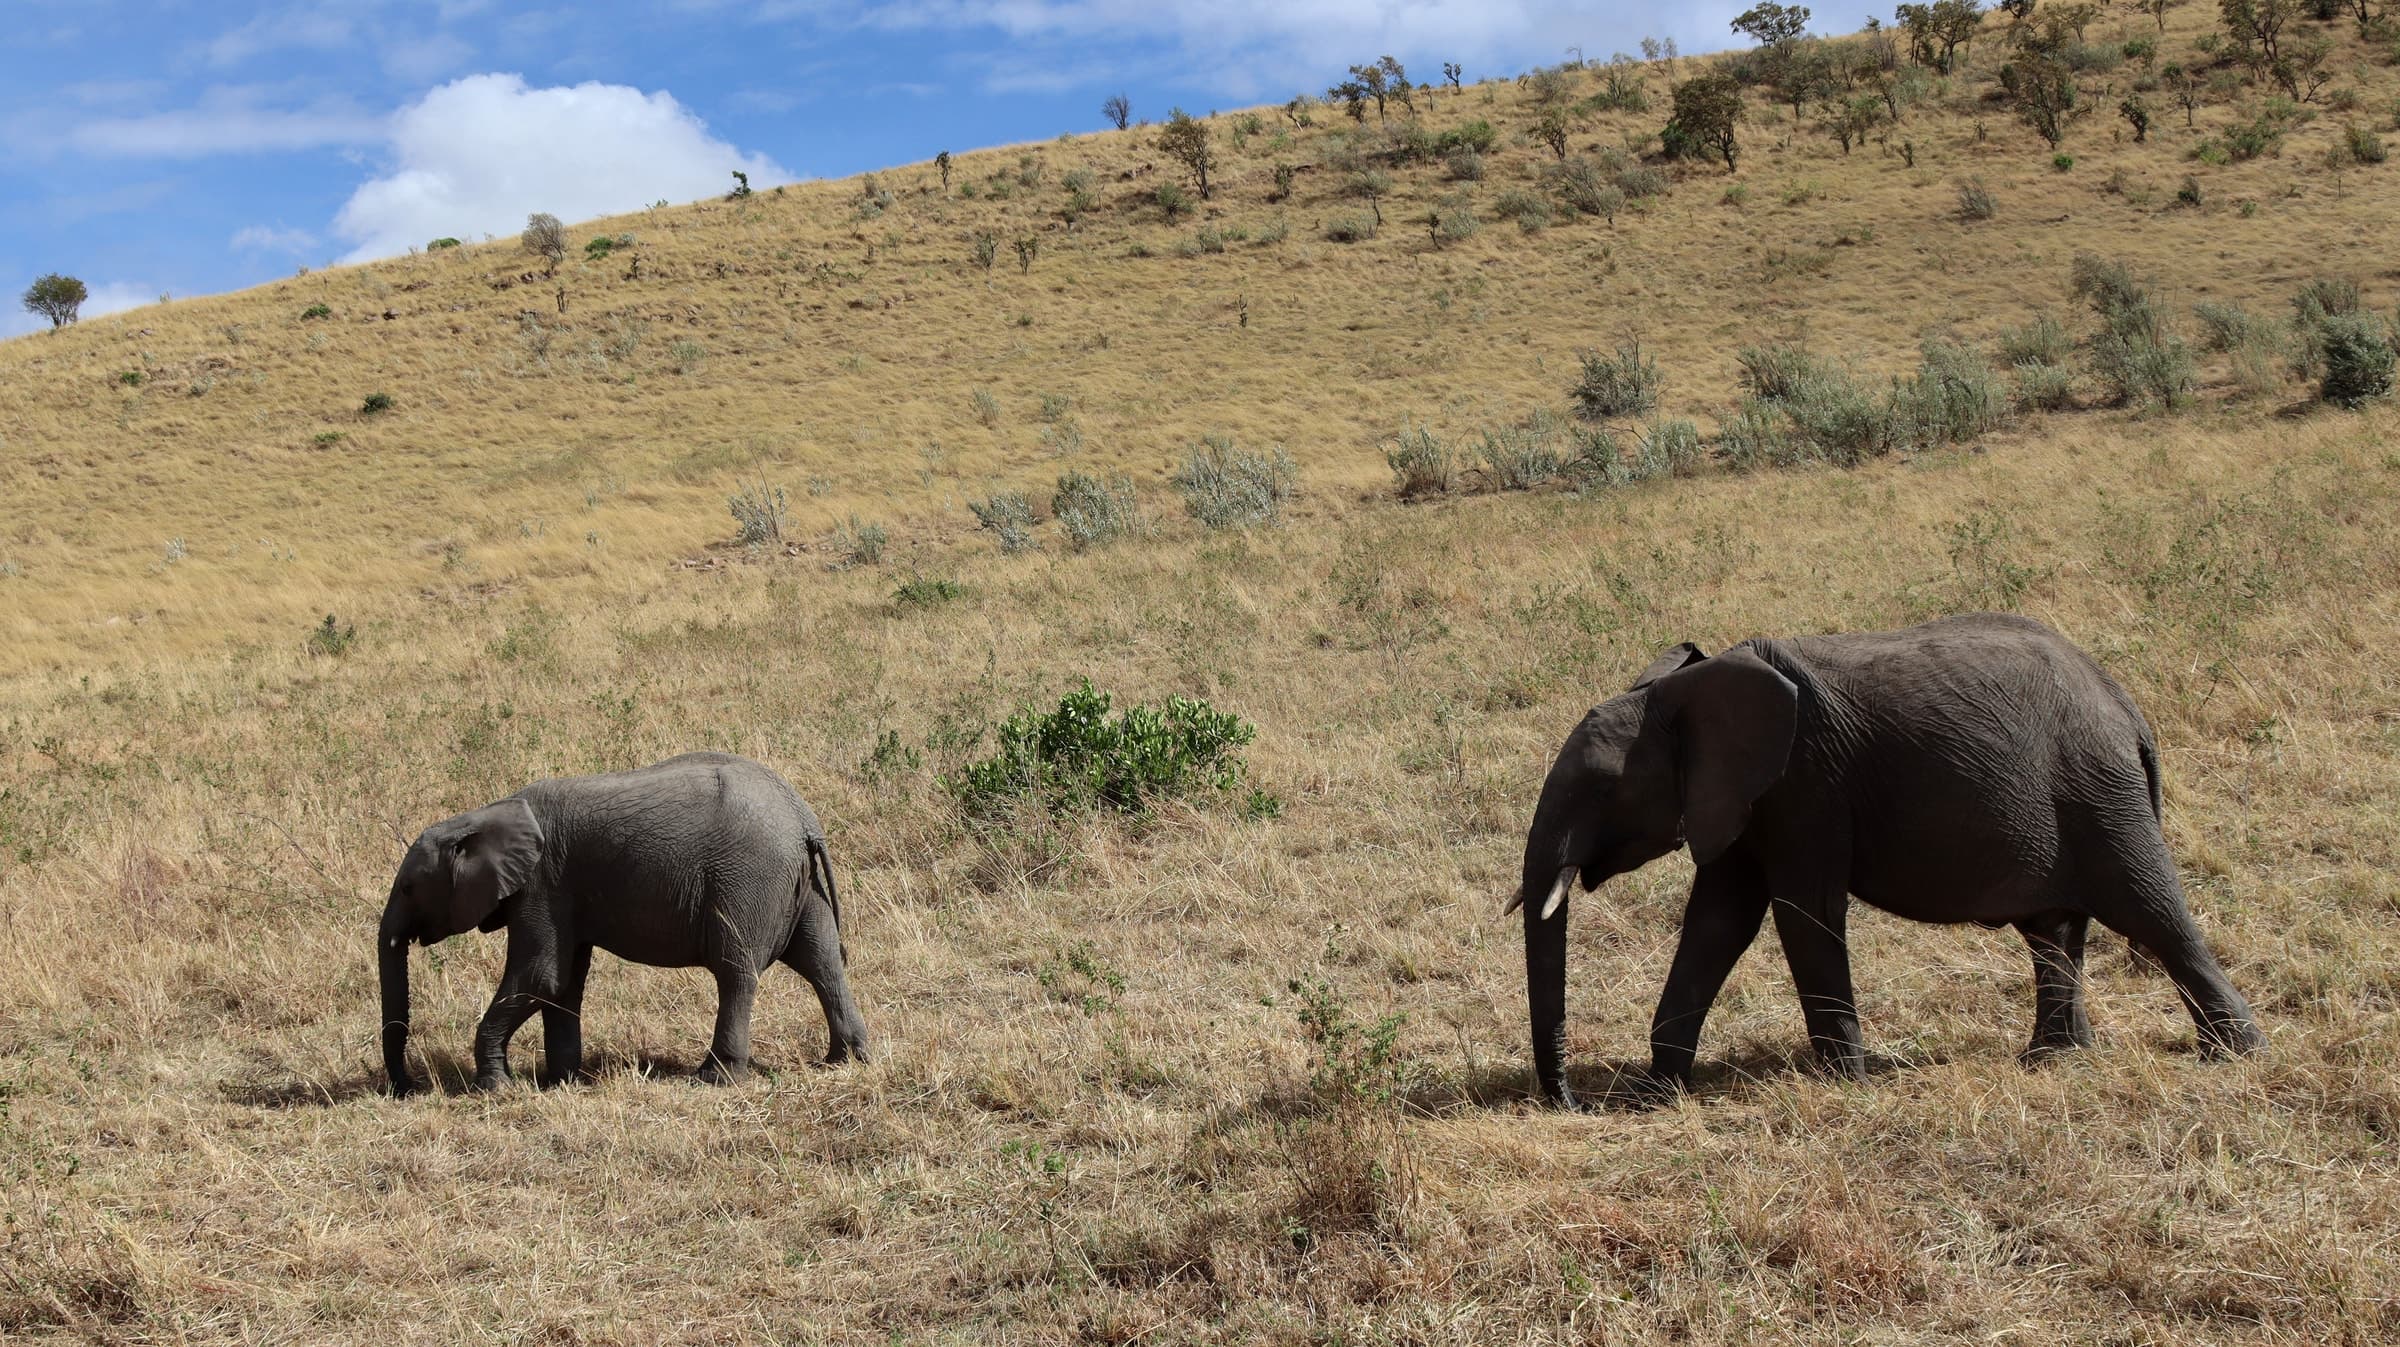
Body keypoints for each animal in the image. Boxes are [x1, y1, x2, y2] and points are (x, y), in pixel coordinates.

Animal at [379, 752, 869, 1097]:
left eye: (408, 888)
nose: (408, 1087)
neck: (487, 814)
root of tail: (804, 820)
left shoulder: (542, 885)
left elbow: (541, 977)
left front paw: (496, 1089)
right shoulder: (564, 892)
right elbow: (563, 984)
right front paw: (562, 1083)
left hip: (747, 879)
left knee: (736, 972)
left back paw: (714, 1079)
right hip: (797, 885)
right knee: (821, 960)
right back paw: (844, 1060)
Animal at [1509, 613, 2263, 1109]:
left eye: (1603, 787)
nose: (1571, 1100)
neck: (1684, 691)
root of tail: (2128, 708)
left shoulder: (1803, 783)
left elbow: (1802, 911)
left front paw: (1845, 1083)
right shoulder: (1742, 796)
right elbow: (1717, 921)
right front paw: (1653, 1093)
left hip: (2100, 791)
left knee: (2152, 912)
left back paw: (2235, 1053)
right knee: (2056, 930)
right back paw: (2054, 1058)